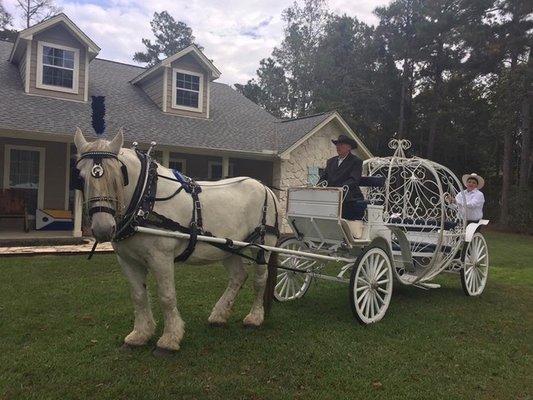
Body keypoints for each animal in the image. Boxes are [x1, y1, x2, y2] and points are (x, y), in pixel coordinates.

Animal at [74, 127, 278, 354]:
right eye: (80, 176)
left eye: (119, 175)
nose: (102, 228)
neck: (145, 196)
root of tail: (265, 187)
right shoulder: (127, 260)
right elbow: (138, 295)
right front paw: (140, 335)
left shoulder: (161, 257)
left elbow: (166, 296)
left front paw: (169, 339)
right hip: (229, 246)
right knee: (238, 277)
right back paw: (219, 315)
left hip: (262, 245)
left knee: (259, 279)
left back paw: (255, 317)